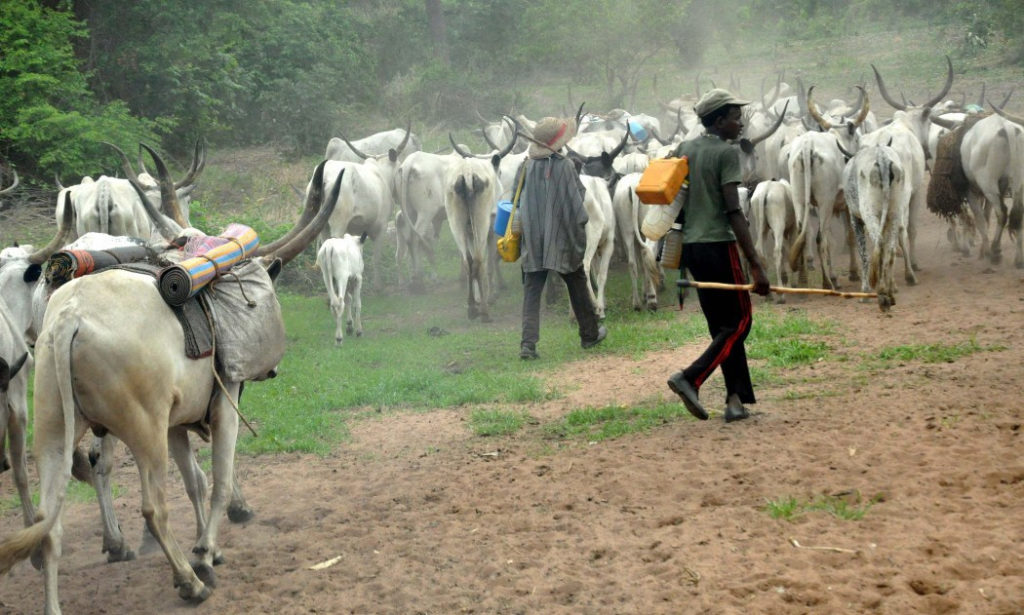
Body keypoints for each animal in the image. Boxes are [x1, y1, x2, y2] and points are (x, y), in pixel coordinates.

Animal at [0, 159, 341, 613]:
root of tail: (71, 318)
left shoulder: (176, 423)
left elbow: (196, 482)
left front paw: (207, 545)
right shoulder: (224, 402)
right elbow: (218, 482)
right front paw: (207, 551)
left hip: (55, 430)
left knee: (50, 523)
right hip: (144, 431)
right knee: (152, 507)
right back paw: (189, 581)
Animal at [843, 143, 915, 310]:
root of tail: (882, 157)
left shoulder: (855, 219)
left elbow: (864, 255)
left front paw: (865, 291)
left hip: (870, 214)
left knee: (879, 245)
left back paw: (881, 292)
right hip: (894, 213)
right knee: (892, 247)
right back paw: (890, 288)